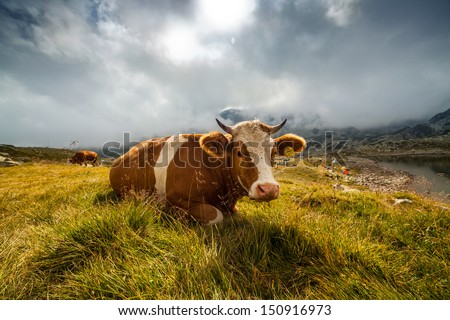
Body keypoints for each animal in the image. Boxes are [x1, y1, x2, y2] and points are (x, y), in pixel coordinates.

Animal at [109, 119, 306, 224]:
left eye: (273, 153)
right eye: (239, 152)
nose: (269, 189)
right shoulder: (178, 199)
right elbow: (216, 216)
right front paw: (174, 213)